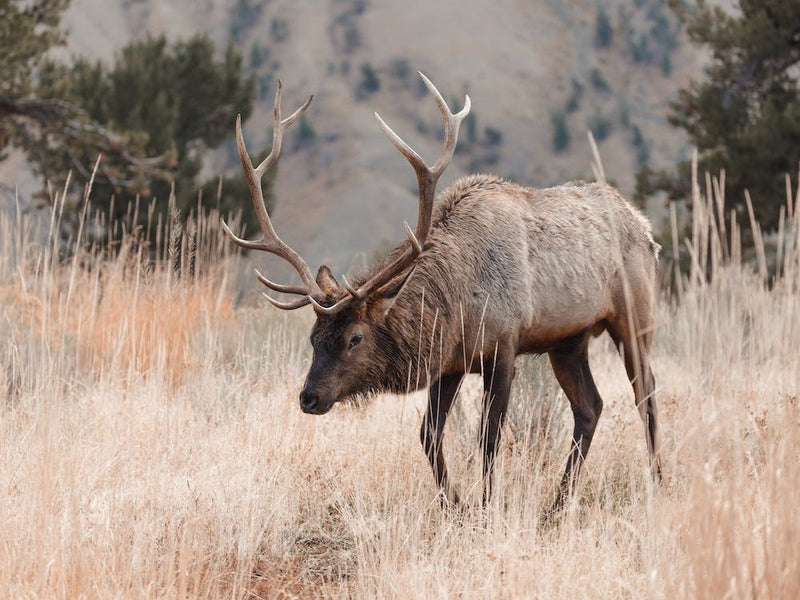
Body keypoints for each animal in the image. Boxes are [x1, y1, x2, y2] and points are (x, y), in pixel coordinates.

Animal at [222, 75, 662, 510]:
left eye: (355, 338)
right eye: (314, 338)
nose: (309, 398)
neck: (457, 301)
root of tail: (645, 227)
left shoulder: (503, 347)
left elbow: (489, 437)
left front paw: (485, 507)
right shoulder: (449, 362)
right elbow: (429, 435)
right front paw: (456, 505)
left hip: (634, 317)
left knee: (646, 391)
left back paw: (658, 481)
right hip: (568, 341)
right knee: (590, 407)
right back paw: (556, 505)